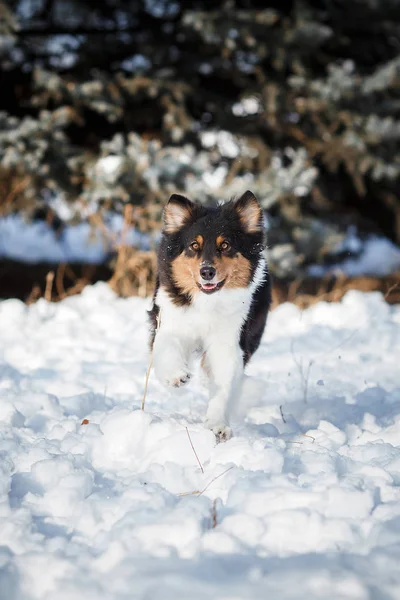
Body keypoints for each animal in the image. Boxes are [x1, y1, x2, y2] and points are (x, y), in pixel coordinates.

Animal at [150, 191, 272, 440]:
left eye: (225, 245)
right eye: (194, 246)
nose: (207, 272)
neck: (207, 302)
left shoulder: (229, 343)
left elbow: (223, 385)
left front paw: (218, 425)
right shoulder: (168, 322)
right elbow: (168, 348)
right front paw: (176, 375)